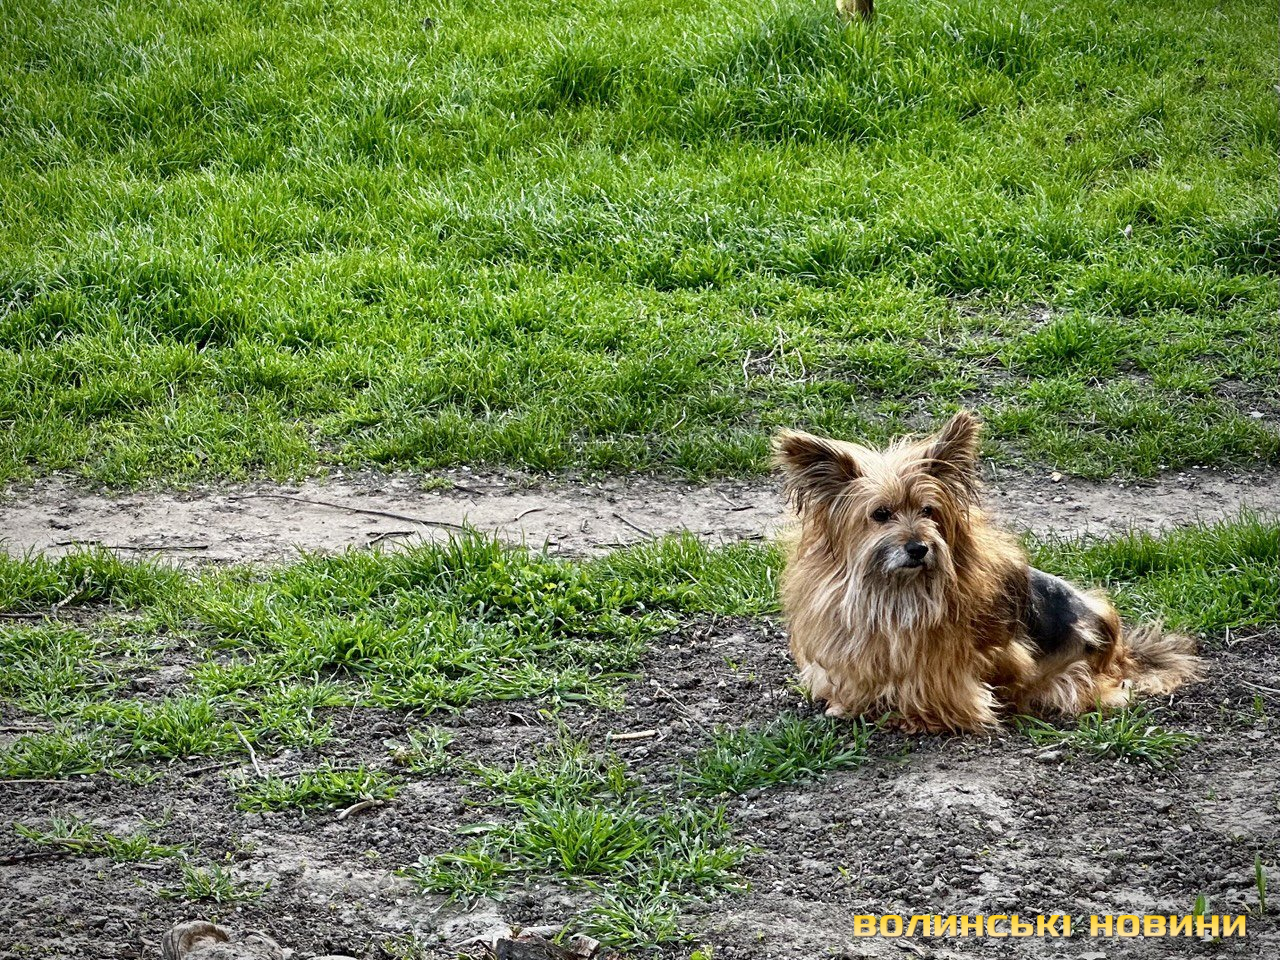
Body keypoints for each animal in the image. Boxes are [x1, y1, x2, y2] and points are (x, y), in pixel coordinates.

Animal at [773, 410, 1200, 733]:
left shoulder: (958, 659)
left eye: (928, 511)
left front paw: (919, 718)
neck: (894, 588)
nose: (919, 548)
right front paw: (848, 705)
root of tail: (1119, 646)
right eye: (880, 514)